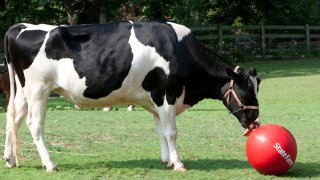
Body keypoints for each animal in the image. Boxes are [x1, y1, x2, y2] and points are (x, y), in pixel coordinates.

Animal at [3, 21, 260, 172]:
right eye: (247, 88)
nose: (255, 120)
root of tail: (18, 27)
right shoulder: (167, 93)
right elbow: (171, 132)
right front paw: (178, 163)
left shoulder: (155, 98)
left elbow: (160, 131)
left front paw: (166, 160)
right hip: (39, 88)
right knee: (34, 124)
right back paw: (50, 164)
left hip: (24, 91)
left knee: (12, 119)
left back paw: (10, 159)